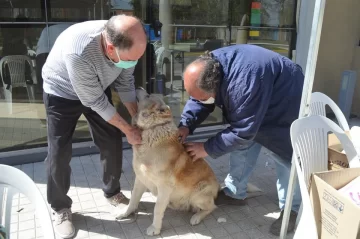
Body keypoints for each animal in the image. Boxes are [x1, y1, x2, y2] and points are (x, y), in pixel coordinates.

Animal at [116, 88, 221, 235]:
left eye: (148, 95)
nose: (139, 88)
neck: (152, 130)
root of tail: (218, 188)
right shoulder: (140, 179)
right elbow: (133, 200)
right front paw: (126, 214)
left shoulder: (164, 187)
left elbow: (157, 209)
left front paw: (155, 228)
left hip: (198, 195)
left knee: (212, 207)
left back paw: (196, 217)